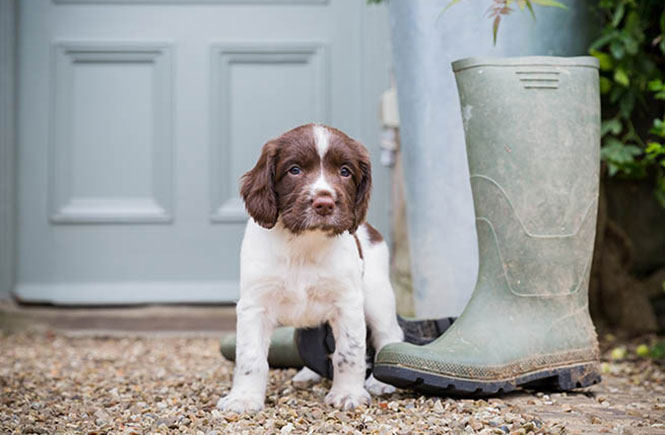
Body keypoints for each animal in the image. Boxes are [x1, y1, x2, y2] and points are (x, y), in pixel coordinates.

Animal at [218, 122, 404, 412]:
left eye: (345, 171)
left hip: (377, 295)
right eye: (294, 170)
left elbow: (349, 353)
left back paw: (381, 381)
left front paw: (348, 394)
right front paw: (244, 398)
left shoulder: (348, 302)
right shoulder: (254, 304)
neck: (302, 245)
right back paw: (308, 374)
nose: (324, 203)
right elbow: (251, 357)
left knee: (389, 332)